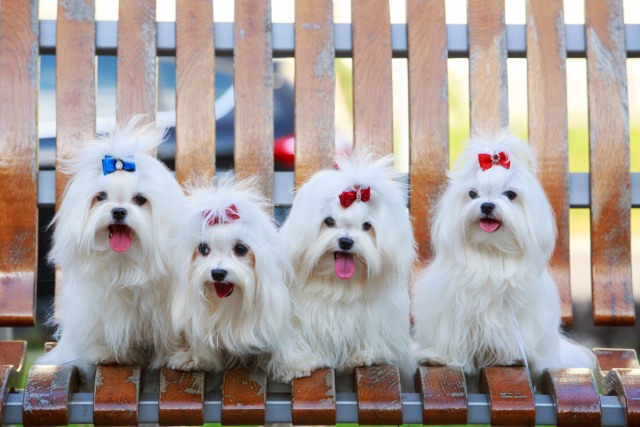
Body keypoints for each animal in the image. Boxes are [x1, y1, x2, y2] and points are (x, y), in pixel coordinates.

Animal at [278, 153, 418, 384]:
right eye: (329, 221)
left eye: (367, 226)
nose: (345, 241)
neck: (337, 285)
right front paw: (297, 364)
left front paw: (364, 355)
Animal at [412, 130, 596, 382]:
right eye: (472, 194)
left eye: (510, 194)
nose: (487, 206)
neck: (491, 252)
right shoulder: (452, 308)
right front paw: (442, 357)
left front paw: (509, 357)